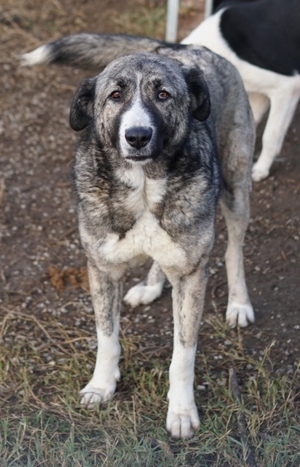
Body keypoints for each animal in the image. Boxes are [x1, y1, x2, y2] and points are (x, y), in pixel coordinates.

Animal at [23, 40, 255, 438]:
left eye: (163, 95)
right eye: (115, 95)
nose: (137, 136)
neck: (144, 184)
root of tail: (187, 46)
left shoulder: (191, 277)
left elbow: (183, 355)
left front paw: (181, 411)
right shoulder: (101, 270)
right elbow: (107, 340)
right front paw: (102, 386)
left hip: (237, 188)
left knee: (234, 251)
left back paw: (239, 303)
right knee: (162, 262)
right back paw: (151, 286)